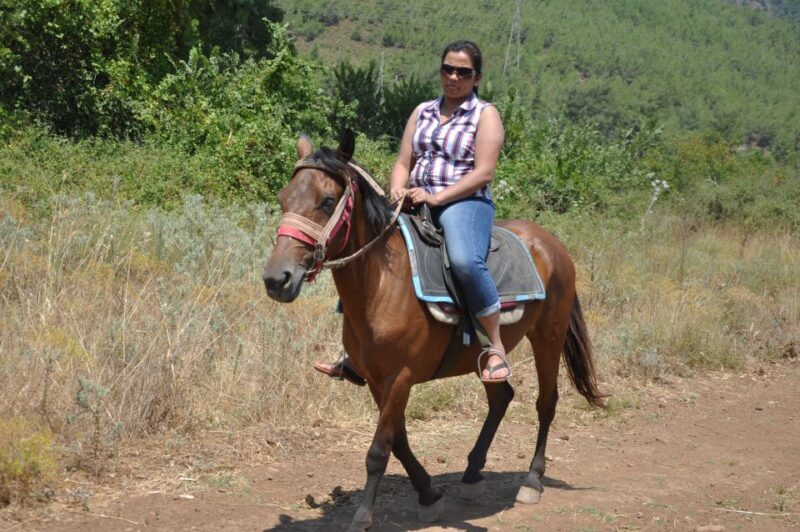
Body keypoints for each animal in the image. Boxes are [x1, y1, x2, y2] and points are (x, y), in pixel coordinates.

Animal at [263, 131, 603, 531]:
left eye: (327, 201)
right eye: (283, 198)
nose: (277, 279)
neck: (383, 283)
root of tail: (552, 244)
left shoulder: (400, 377)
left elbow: (379, 450)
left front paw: (363, 517)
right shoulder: (377, 380)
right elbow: (398, 440)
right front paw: (428, 494)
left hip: (548, 337)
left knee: (546, 403)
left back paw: (532, 481)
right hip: (485, 355)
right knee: (501, 397)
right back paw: (472, 473)